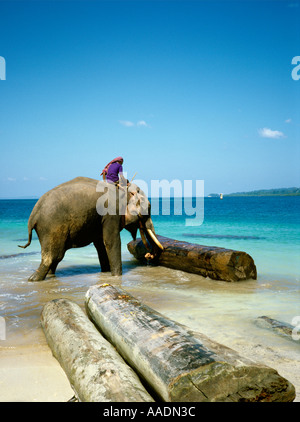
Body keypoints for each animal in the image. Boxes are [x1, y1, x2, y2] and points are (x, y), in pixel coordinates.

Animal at [18, 176, 164, 282]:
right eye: (149, 208)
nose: (149, 256)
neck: (121, 188)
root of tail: (33, 214)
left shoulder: (100, 220)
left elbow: (100, 245)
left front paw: (106, 272)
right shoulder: (111, 213)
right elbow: (111, 242)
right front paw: (117, 276)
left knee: (55, 258)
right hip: (52, 228)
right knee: (52, 257)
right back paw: (33, 279)